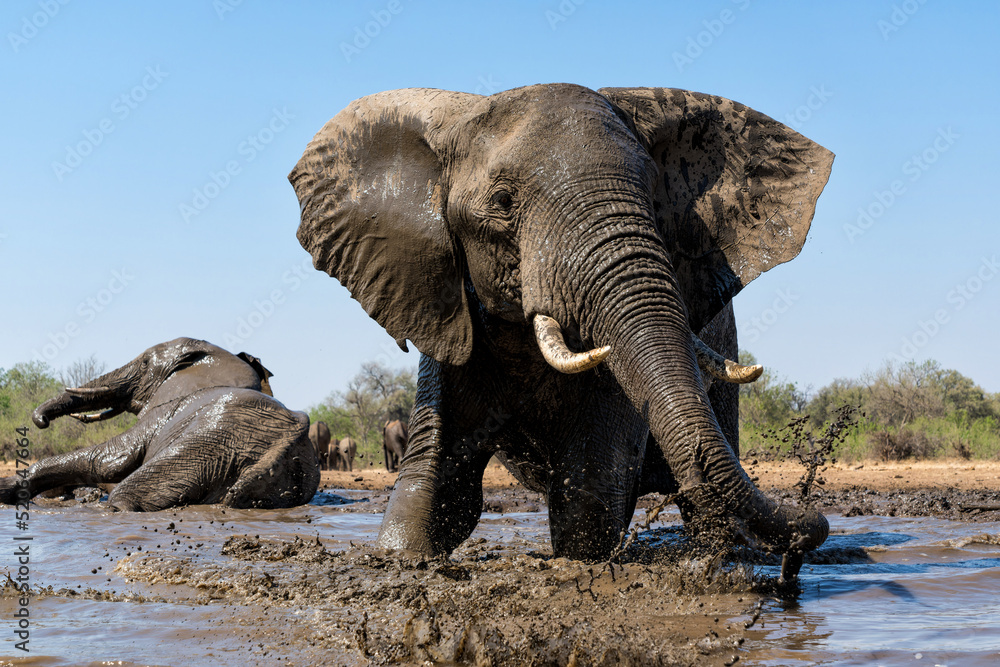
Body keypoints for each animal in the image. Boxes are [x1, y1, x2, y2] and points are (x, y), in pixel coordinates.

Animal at [0, 338, 320, 511]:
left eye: (144, 364)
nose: (41, 420)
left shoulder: (164, 411)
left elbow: (107, 461)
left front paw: (6, 490)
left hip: (209, 443)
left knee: (123, 498)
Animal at [289, 84, 834, 576]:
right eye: (503, 201)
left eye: (655, 196)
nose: (808, 531)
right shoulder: (450, 314)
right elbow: (437, 485)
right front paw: (401, 561)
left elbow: (590, 492)